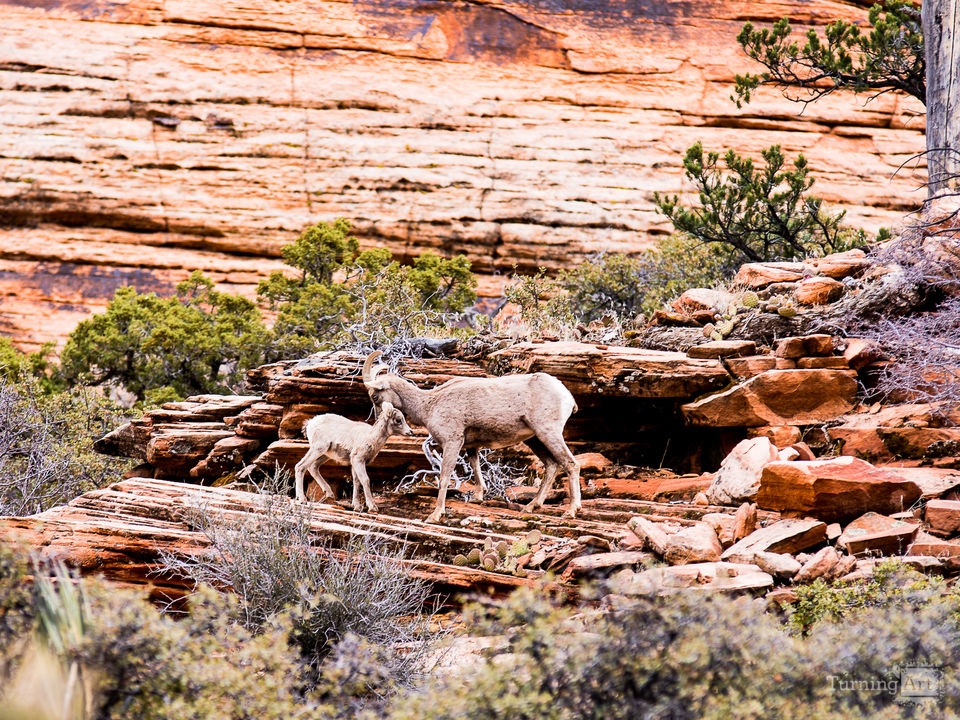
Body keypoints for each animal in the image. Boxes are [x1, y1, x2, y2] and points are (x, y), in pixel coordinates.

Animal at [364, 350, 580, 524]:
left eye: (375, 396)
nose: (378, 420)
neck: (428, 405)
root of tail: (567, 396)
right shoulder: (471, 447)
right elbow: (476, 469)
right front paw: (478, 497)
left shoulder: (452, 442)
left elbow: (444, 478)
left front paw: (435, 515)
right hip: (534, 439)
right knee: (552, 465)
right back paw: (531, 507)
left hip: (548, 432)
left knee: (571, 464)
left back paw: (570, 512)